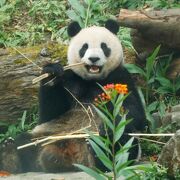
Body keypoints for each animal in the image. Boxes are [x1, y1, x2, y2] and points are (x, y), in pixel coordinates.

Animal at [0, 19, 146, 173]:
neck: (92, 79)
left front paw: (110, 121)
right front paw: (51, 74)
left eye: (104, 46)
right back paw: (9, 153)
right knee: (24, 143)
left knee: (124, 142)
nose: (94, 59)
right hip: (45, 136)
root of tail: (71, 158)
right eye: (84, 47)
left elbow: (135, 113)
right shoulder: (70, 79)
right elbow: (49, 113)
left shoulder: (121, 77)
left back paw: (100, 149)